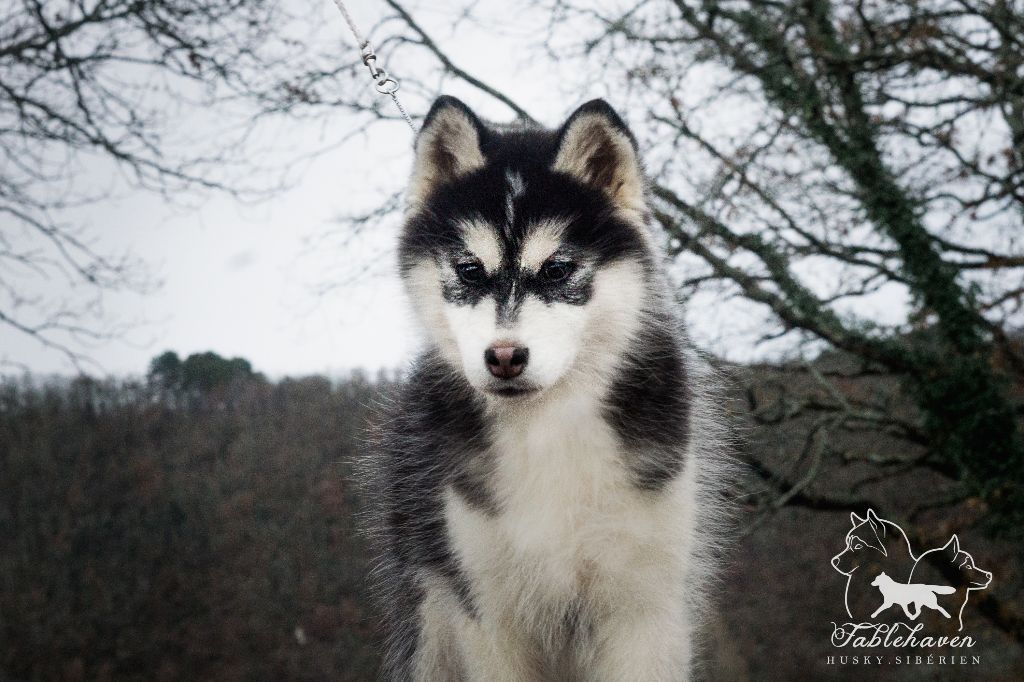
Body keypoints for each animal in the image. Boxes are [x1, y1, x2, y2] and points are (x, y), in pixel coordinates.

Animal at [364, 96, 733, 679]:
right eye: (470, 270)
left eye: (557, 268)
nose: (504, 357)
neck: (548, 428)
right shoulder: (487, 614)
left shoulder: (645, 608)